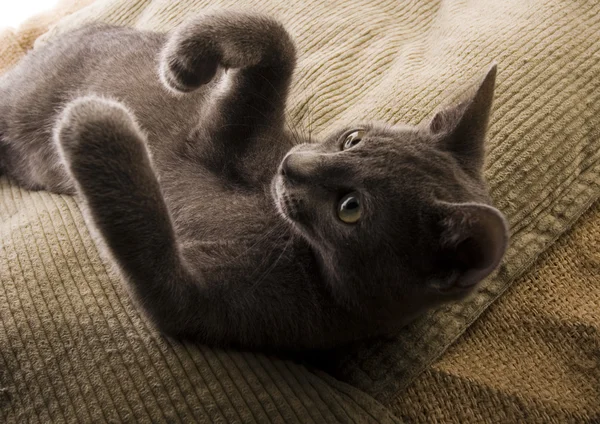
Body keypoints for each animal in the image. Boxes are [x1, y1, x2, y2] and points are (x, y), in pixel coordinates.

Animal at [0, 11, 508, 350]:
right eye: (351, 139)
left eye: (351, 208)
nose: (292, 166)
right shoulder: (217, 138)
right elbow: (277, 43)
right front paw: (185, 59)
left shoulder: (199, 305)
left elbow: (149, 250)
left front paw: (94, 122)